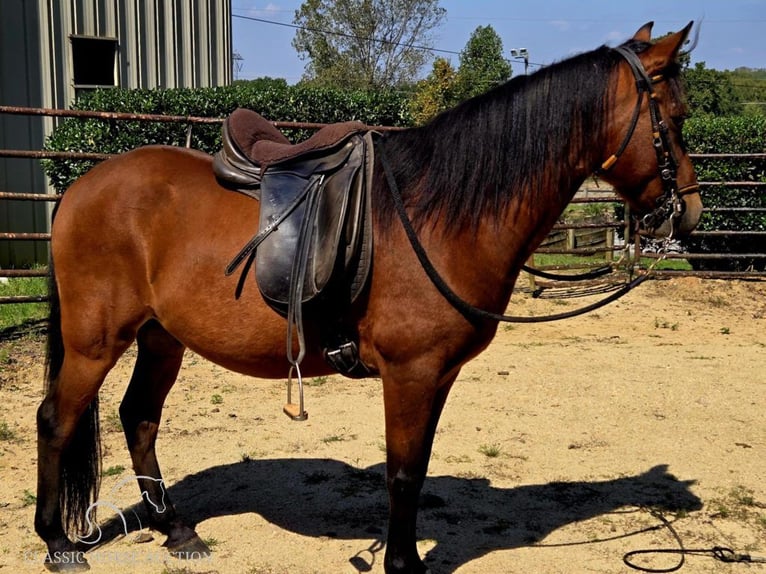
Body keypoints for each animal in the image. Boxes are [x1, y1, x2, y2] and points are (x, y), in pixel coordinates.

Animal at [37, 22, 704, 574]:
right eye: (674, 117)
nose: (690, 212)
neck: (440, 215)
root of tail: (81, 185)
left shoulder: (438, 376)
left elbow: (416, 468)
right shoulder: (411, 374)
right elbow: (403, 474)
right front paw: (403, 565)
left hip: (161, 336)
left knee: (138, 417)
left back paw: (175, 529)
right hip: (96, 340)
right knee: (57, 419)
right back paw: (59, 542)